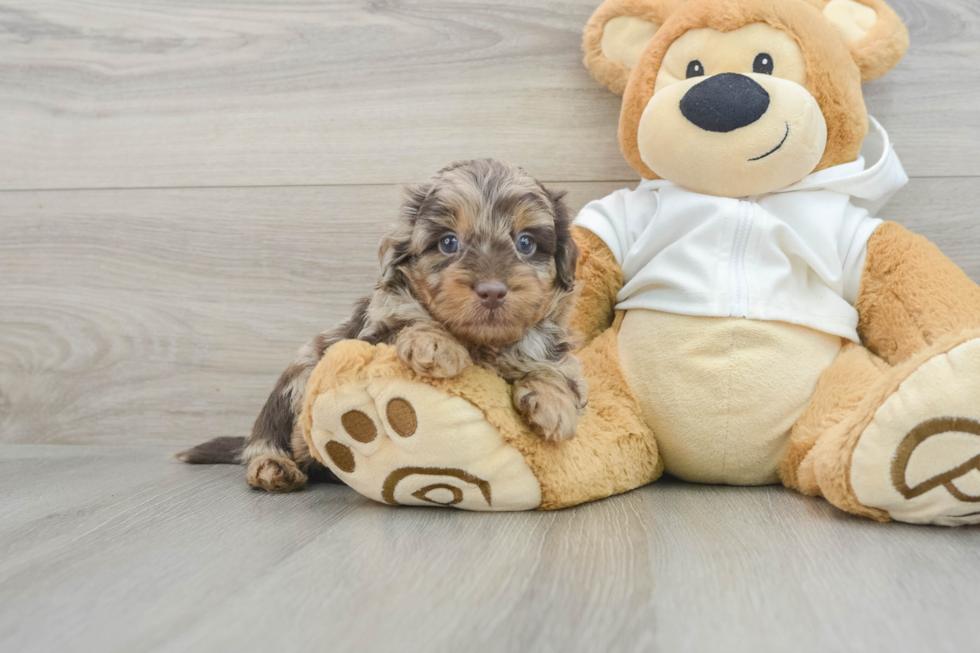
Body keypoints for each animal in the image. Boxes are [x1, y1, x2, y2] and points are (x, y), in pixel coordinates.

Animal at [177, 160, 584, 492]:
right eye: (448, 243)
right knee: (270, 437)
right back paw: (274, 466)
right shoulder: (375, 331)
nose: (492, 291)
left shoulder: (553, 351)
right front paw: (435, 344)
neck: (482, 343)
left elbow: (555, 371)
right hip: (299, 373)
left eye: (526, 243)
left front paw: (554, 404)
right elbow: (409, 322)